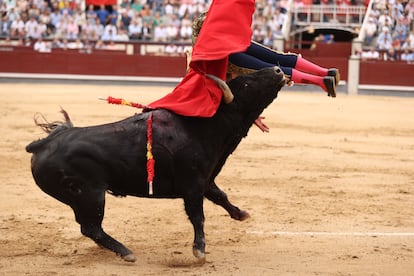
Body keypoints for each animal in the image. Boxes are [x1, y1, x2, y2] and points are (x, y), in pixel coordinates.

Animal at [25, 67, 284, 260]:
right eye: (247, 84)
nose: (279, 69)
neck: (205, 125)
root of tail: (42, 145)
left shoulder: (205, 179)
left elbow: (221, 196)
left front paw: (241, 214)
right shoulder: (192, 184)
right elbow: (197, 215)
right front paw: (199, 250)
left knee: (90, 228)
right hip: (90, 195)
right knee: (90, 227)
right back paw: (125, 252)